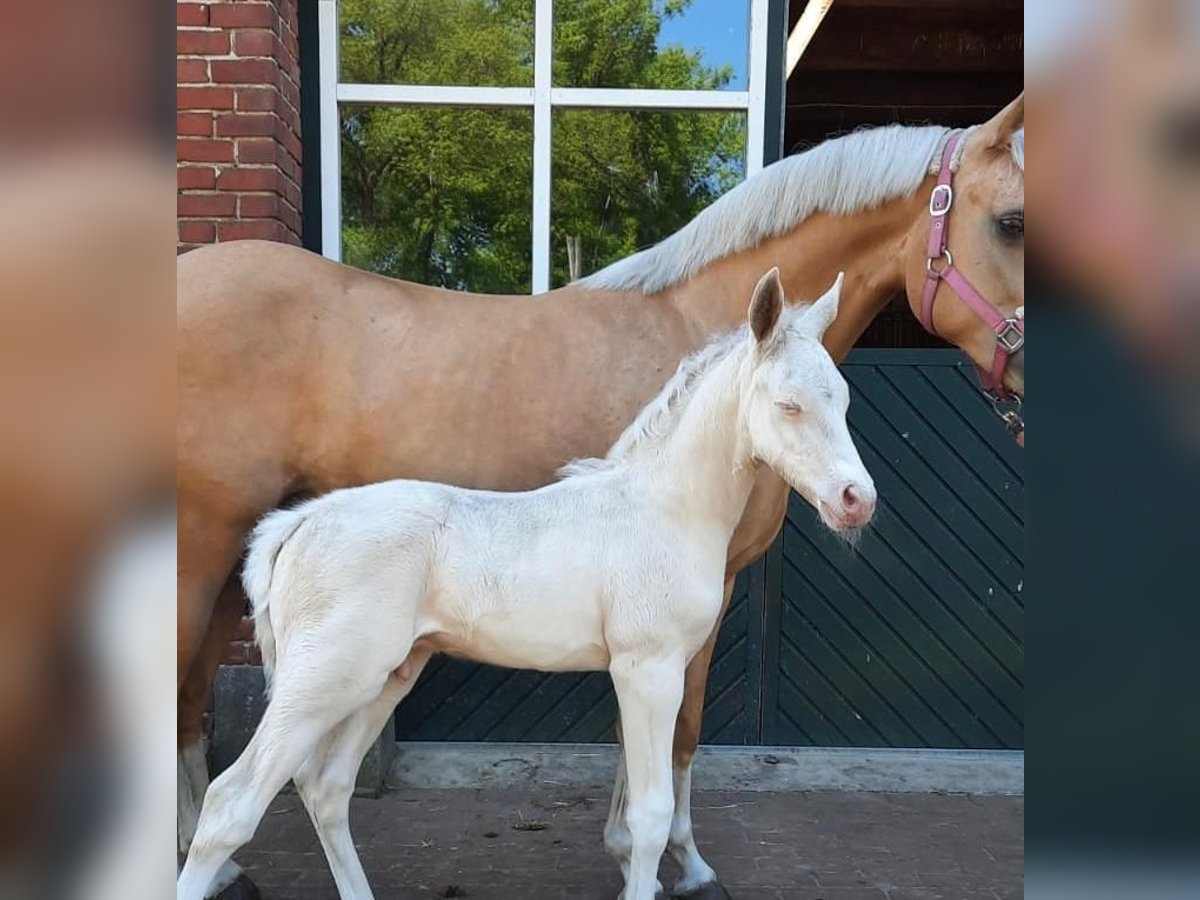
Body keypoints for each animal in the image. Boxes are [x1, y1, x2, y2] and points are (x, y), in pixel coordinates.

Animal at [177, 267, 873, 900]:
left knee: (326, 789)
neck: (662, 507)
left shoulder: (639, 673)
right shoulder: (649, 668)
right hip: (324, 677)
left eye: (841, 399)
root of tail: (298, 523)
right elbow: (649, 817)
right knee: (230, 804)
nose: (856, 500)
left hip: (387, 675)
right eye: (788, 404)